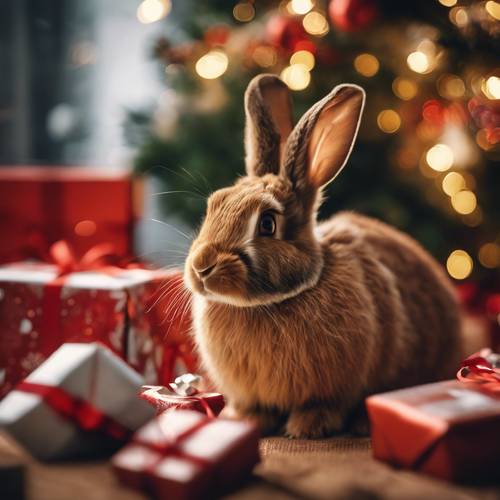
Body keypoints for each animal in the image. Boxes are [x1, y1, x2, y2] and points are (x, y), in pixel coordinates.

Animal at [184, 74, 460, 438]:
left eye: (267, 224)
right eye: (214, 204)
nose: (202, 267)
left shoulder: (336, 388)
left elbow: (324, 405)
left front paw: (306, 427)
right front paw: (243, 420)